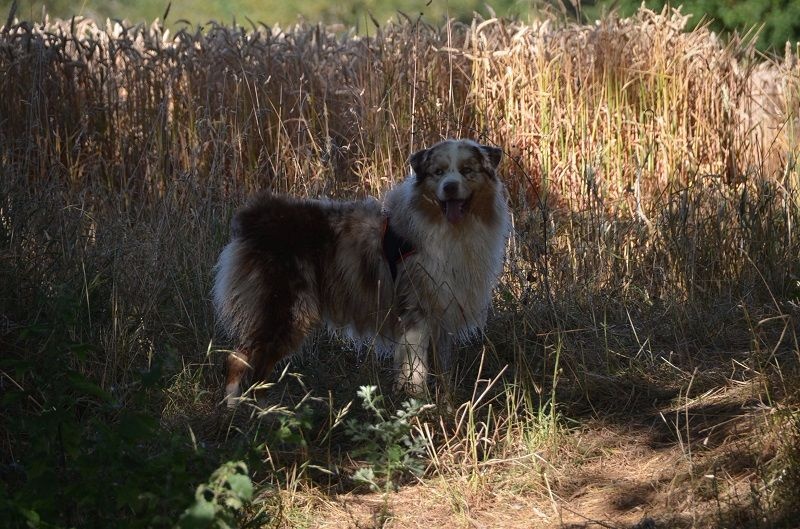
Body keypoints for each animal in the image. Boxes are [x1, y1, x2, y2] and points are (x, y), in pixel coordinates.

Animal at [216, 138, 510, 406]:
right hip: (284, 310)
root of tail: (255, 218)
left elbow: (443, 372)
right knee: (239, 359)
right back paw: (244, 412)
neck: (450, 229)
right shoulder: (415, 311)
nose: (449, 187)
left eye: (467, 170)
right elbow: (416, 371)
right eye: (438, 172)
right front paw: (418, 406)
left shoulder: (442, 312)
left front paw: (447, 406)